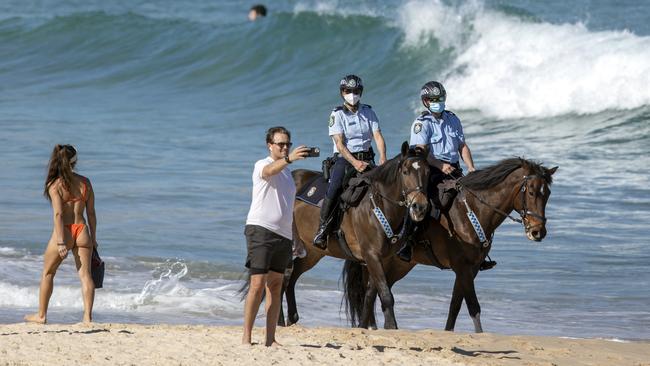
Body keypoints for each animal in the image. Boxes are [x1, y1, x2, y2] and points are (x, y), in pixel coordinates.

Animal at [282, 142, 430, 328]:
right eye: (405, 172)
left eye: (428, 172)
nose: (420, 207)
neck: (378, 206)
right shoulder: (371, 255)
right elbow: (385, 294)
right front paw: (391, 327)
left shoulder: (381, 259)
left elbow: (371, 294)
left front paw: (365, 326)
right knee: (282, 276)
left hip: (312, 252)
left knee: (292, 275)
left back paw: (291, 317)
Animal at [340, 157, 556, 332]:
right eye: (531, 192)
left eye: (547, 194)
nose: (538, 232)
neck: (472, 210)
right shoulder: (462, 267)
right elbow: (473, 306)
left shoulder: (471, 269)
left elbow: (455, 305)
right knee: (373, 290)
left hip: (397, 265)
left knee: (372, 291)